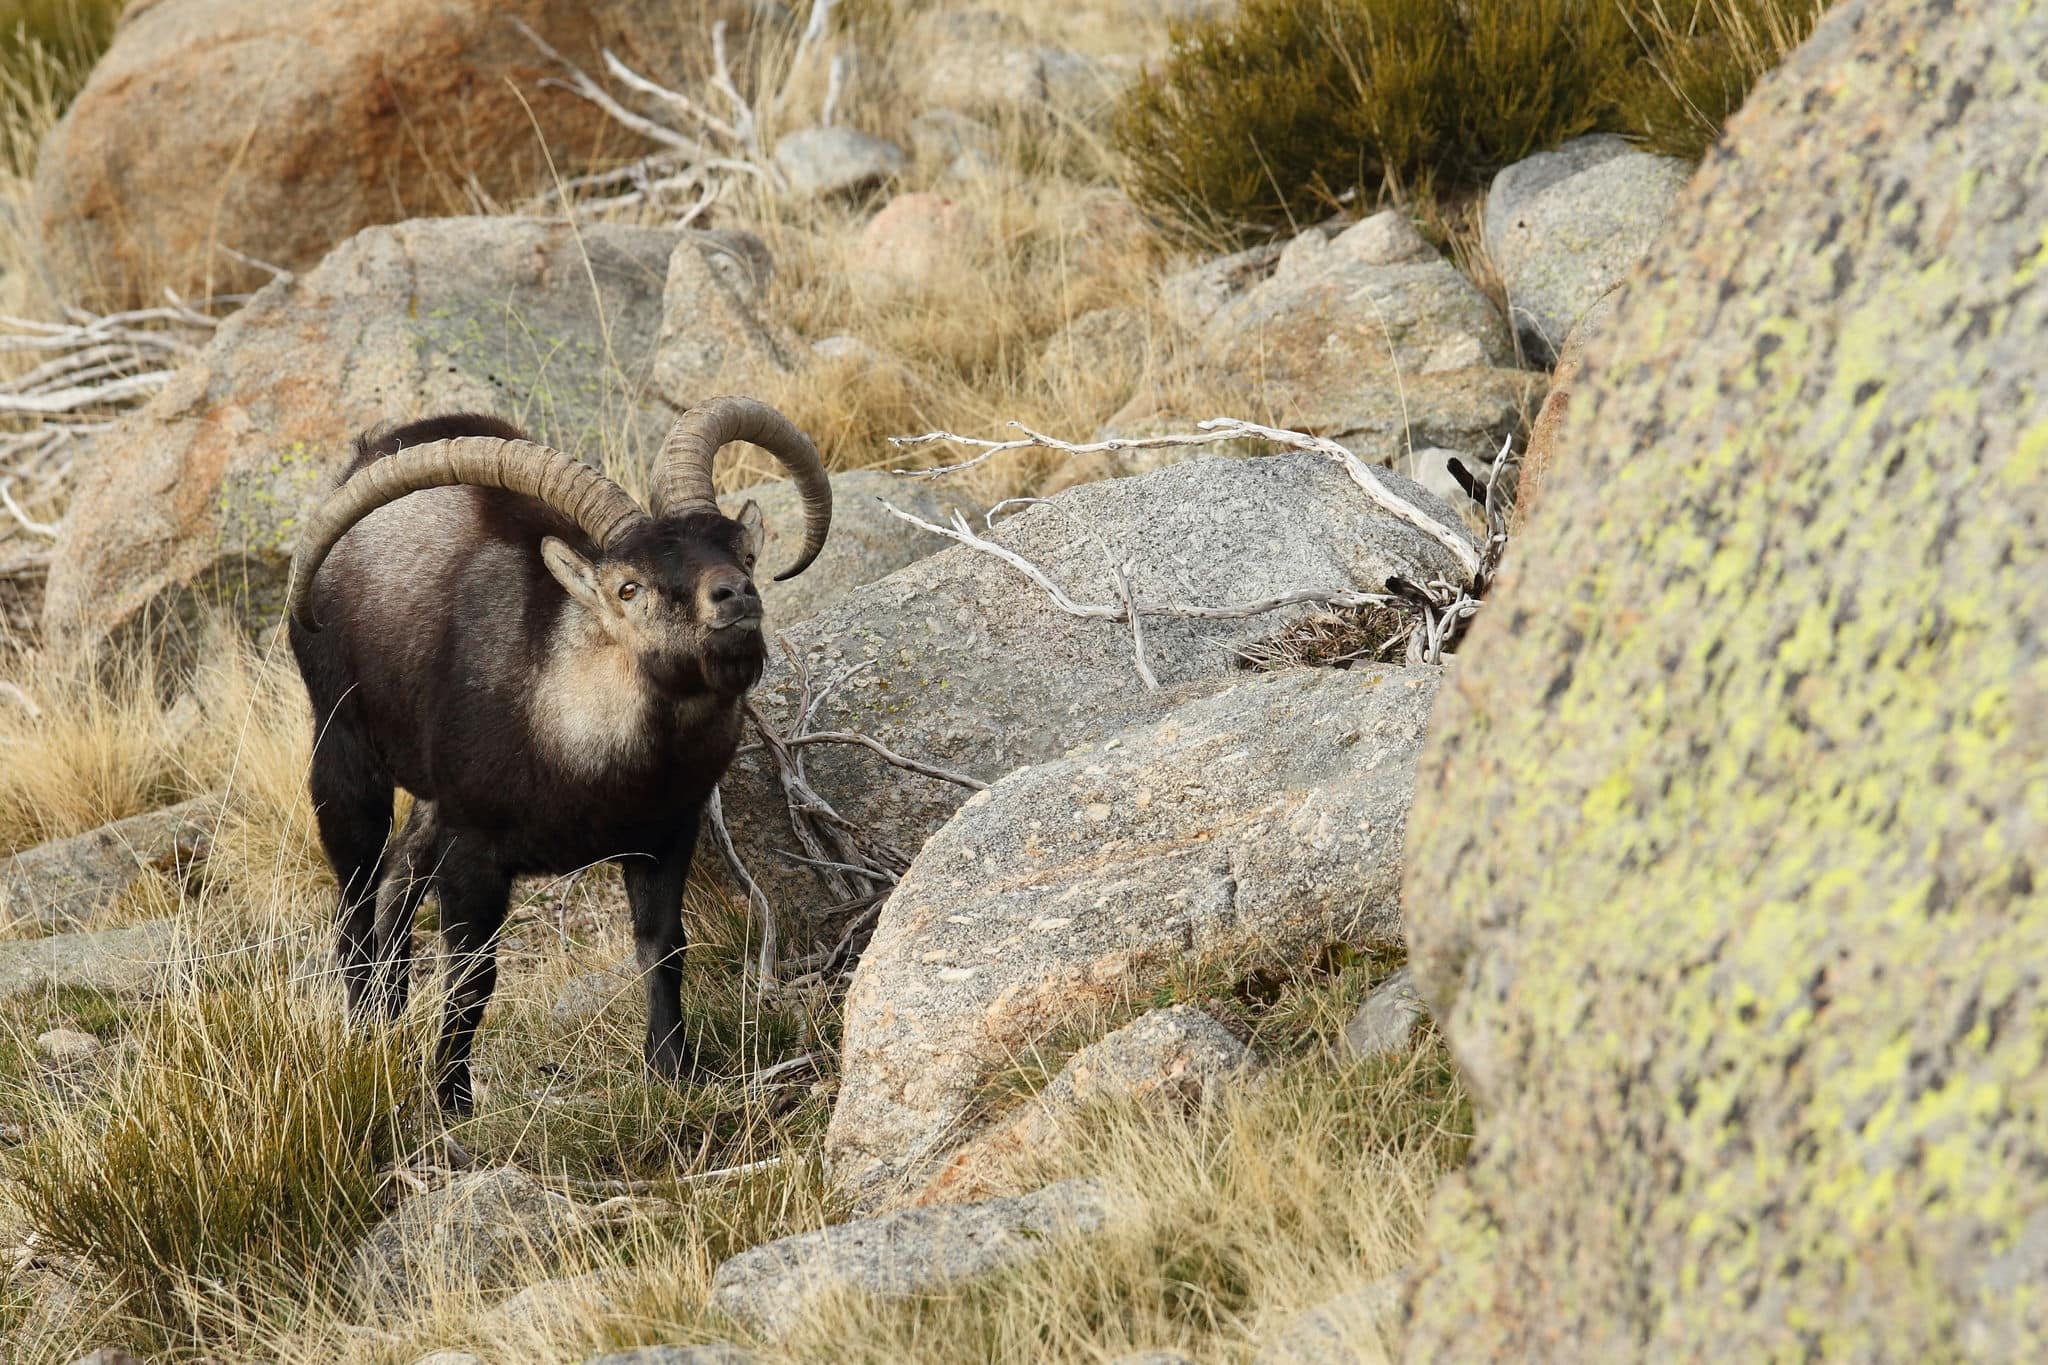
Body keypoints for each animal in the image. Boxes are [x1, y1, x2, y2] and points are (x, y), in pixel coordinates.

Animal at [285, 397, 831, 1113]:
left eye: (741, 550)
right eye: (628, 587)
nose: (734, 594)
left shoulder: (664, 832)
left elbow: (663, 946)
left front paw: (673, 1068)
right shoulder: (476, 852)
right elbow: (472, 978)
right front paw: (451, 1102)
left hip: (434, 798)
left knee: (399, 876)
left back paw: (392, 1006)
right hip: (344, 746)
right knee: (354, 891)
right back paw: (368, 1027)